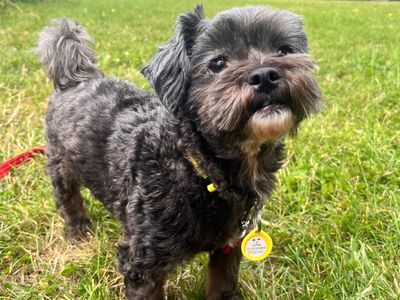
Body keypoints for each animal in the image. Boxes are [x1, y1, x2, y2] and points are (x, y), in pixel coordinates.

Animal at [35, 5, 322, 300]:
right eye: (218, 63)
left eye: (284, 50)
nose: (265, 75)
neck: (195, 167)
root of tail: (74, 77)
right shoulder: (143, 263)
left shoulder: (229, 244)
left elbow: (223, 283)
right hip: (59, 162)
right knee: (67, 197)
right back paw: (78, 231)